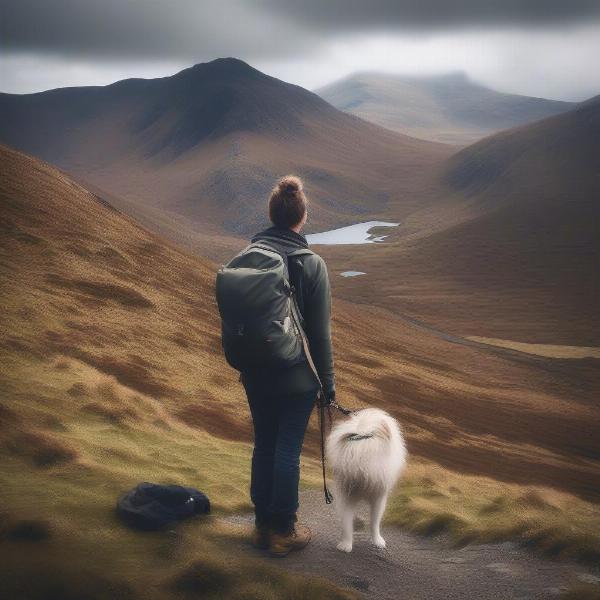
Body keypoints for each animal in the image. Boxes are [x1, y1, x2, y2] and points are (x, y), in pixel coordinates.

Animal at [326, 408, 406, 552]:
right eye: (349, 458)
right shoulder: (346, 497)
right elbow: (347, 522)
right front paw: (346, 545)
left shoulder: (378, 498)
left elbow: (375, 522)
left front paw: (378, 541)